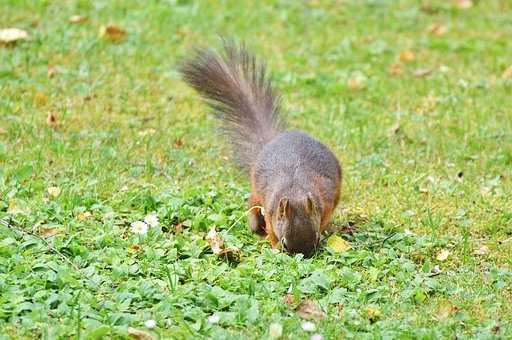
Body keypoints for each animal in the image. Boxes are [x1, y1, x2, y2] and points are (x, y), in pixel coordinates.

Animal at [178, 41, 342, 256]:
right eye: (284, 243)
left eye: (314, 239)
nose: (303, 255)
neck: (295, 190)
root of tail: (275, 139)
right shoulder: (270, 211)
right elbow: (271, 231)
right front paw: (271, 245)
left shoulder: (326, 200)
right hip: (256, 189)